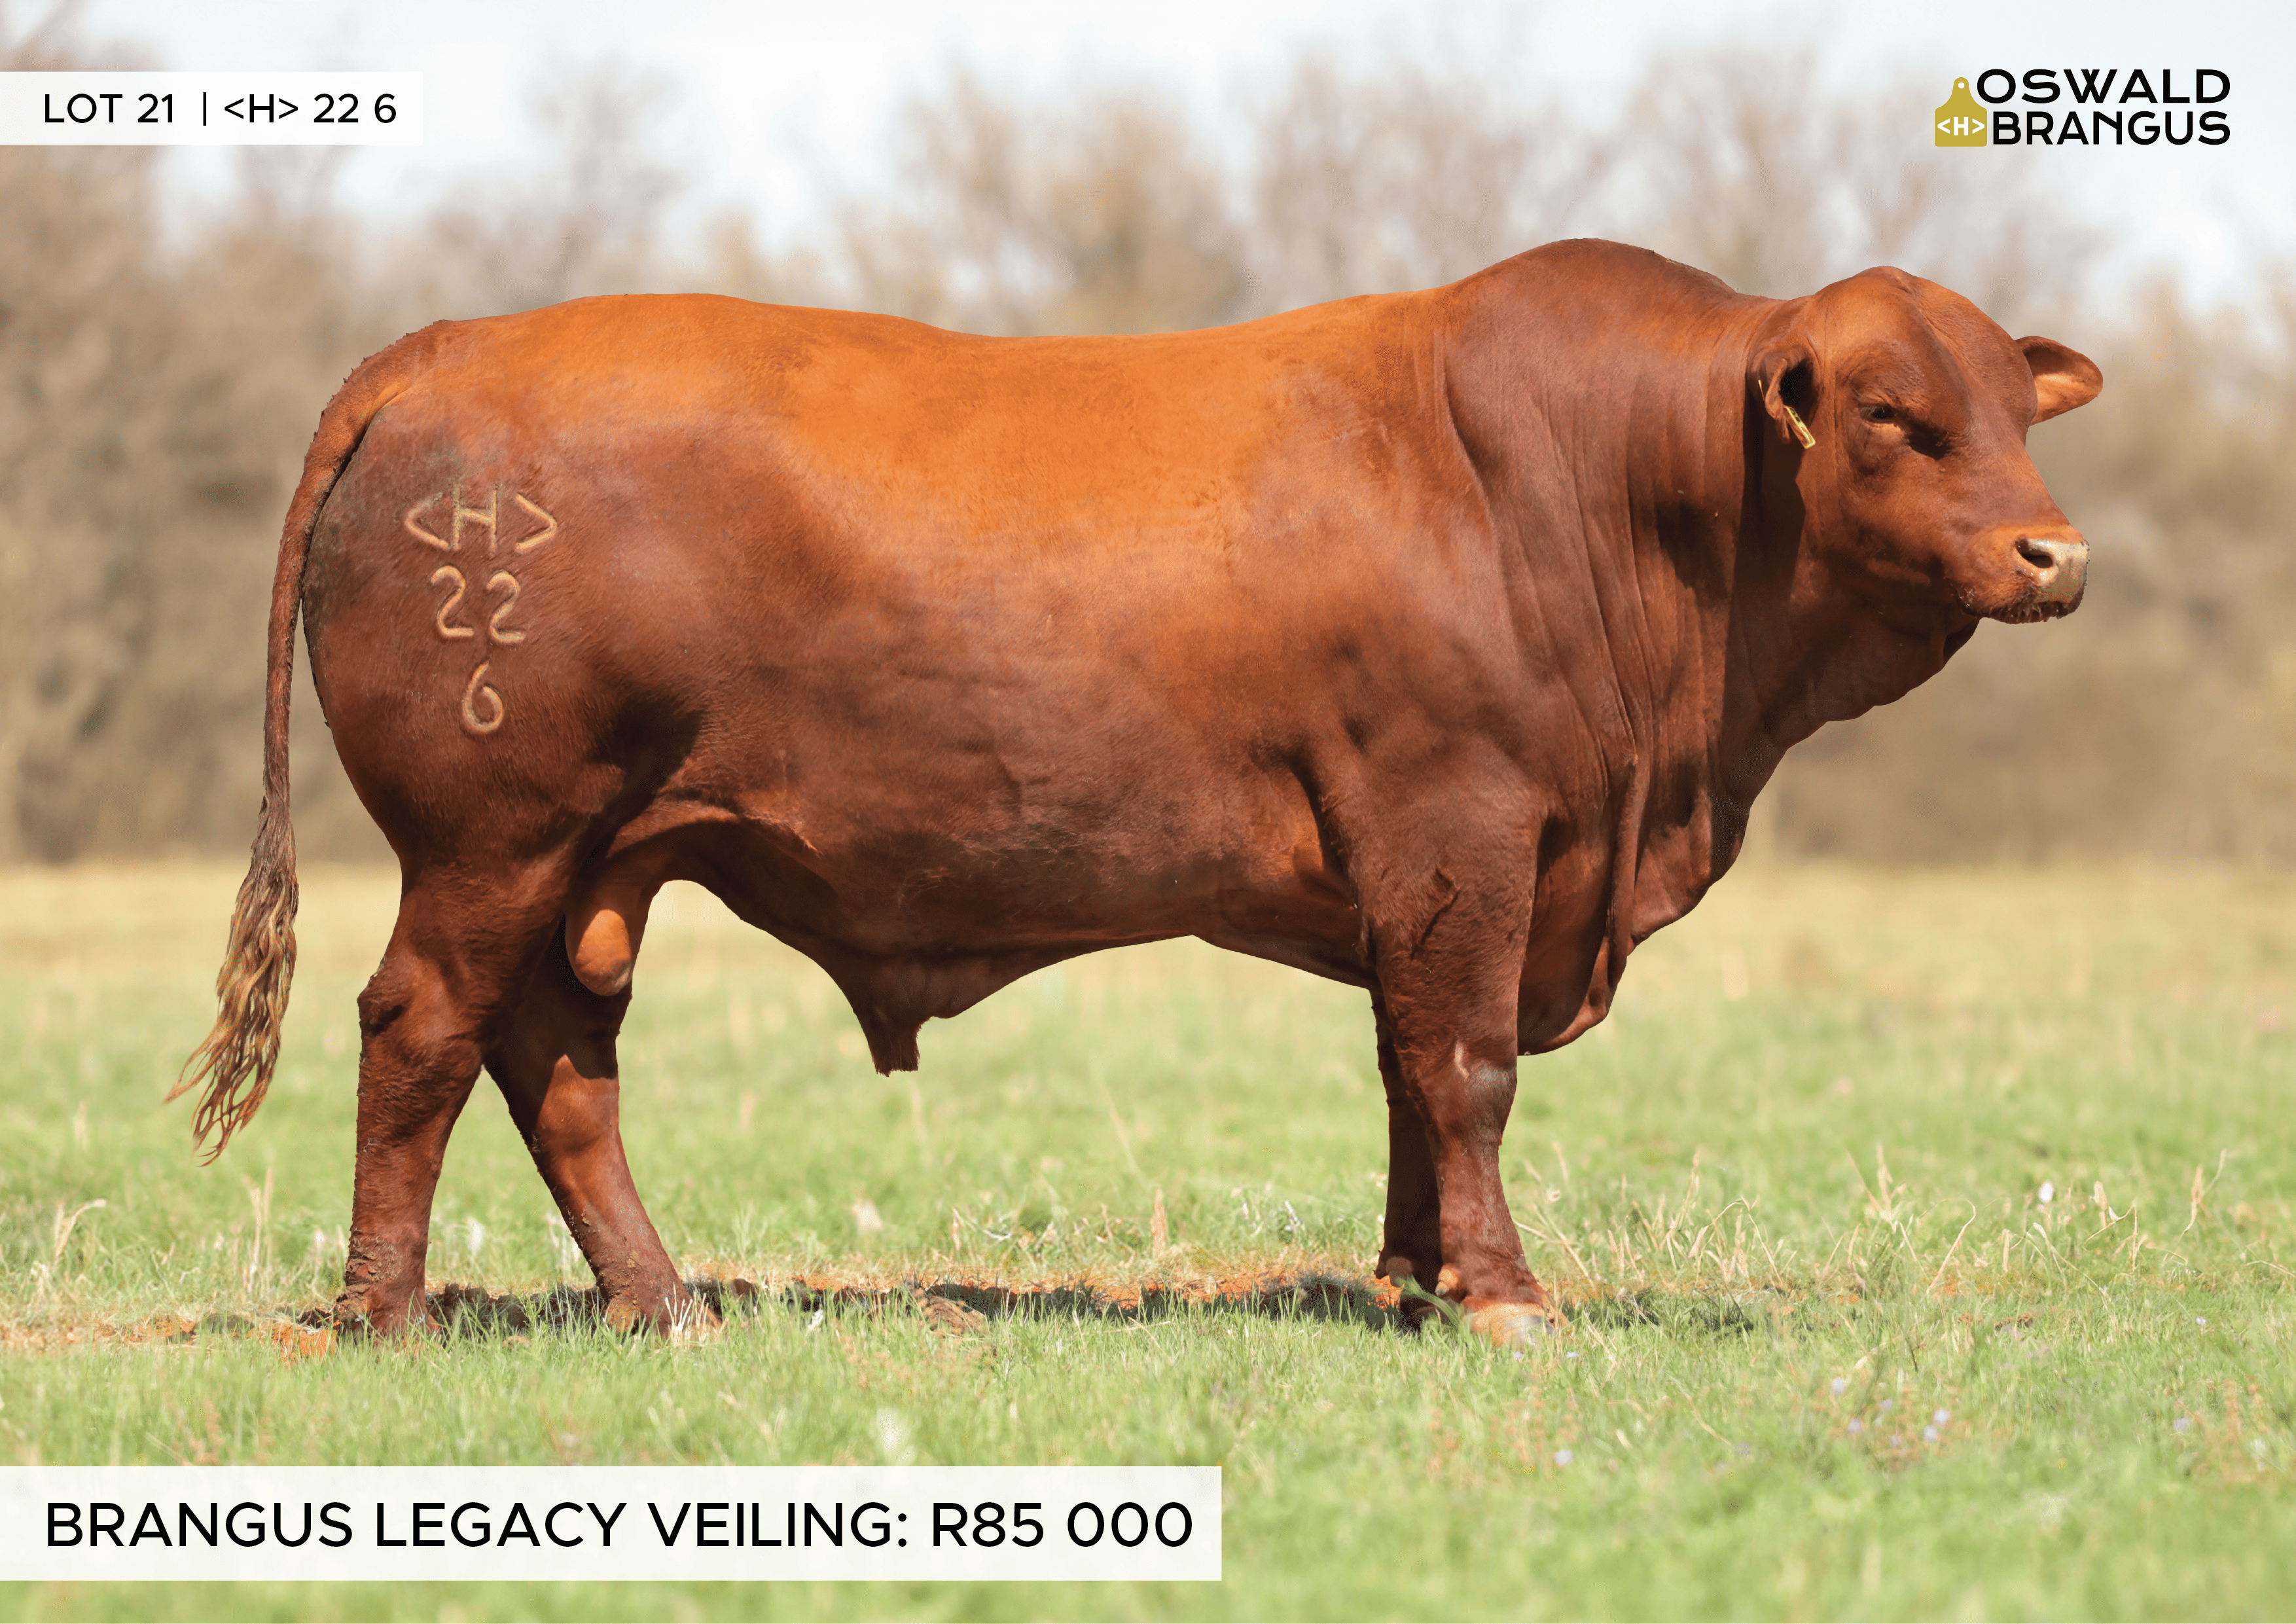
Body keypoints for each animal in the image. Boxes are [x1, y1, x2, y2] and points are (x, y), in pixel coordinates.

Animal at [179, 239, 2101, 1342]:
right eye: (1888, 411)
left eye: (2021, 408)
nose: (2055, 553)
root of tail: (451, 347)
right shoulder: (1462, 832)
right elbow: (1466, 1071)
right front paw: (1501, 1296)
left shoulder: (1428, 879)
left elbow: (1408, 1074)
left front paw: (1410, 1280)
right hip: (493, 837)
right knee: (424, 1030)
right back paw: (384, 1311)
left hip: (594, 860)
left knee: (558, 1061)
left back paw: (666, 1308)